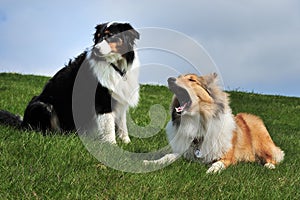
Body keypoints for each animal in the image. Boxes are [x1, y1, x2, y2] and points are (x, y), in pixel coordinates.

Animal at [0, 21, 141, 144]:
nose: (95, 49)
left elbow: (122, 123)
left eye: (111, 35)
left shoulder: (120, 99)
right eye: (98, 37)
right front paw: (112, 145)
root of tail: (22, 123)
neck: (116, 65)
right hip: (43, 105)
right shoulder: (102, 100)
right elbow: (109, 126)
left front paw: (126, 142)